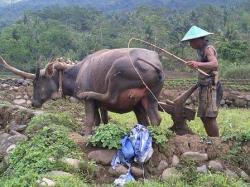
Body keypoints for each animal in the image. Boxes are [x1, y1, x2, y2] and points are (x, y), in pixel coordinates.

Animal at [0, 48, 165, 135]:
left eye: (37, 81)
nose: (33, 103)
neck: (77, 73)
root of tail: (156, 65)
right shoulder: (98, 106)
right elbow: (100, 121)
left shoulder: (89, 103)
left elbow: (89, 120)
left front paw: (86, 134)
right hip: (148, 98)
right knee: (152, 119)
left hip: (115, 72)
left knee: (110, 96)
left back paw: (88, 93)